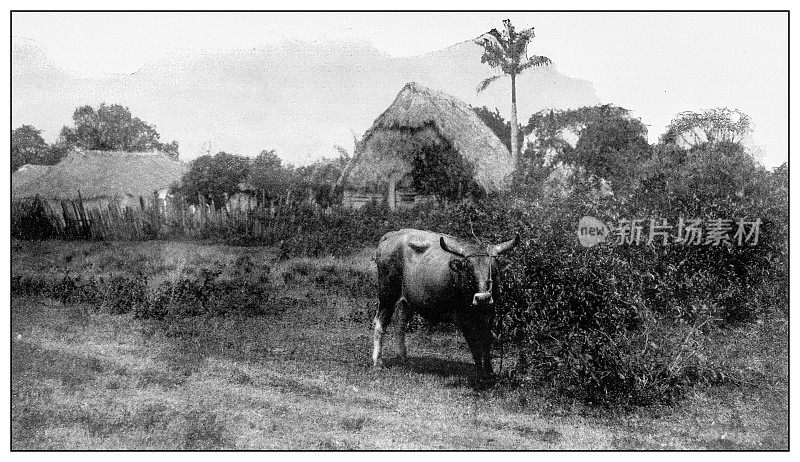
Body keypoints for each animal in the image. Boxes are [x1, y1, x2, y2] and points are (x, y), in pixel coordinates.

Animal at [374, 228, 520, 386]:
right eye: (469, 271)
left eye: (493, 270)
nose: (482, 298)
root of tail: (393, 235)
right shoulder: (464, 318)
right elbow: (475, 345)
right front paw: (480, 376)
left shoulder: (490, 314)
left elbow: (486, 341)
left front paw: (490, 373)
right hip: (387, 295)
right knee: (380, 324)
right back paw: (378, 362)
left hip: (405, 301)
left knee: (399, 326)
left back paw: (404, 359)